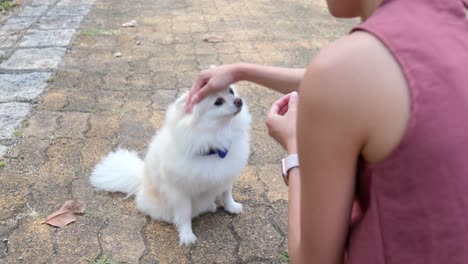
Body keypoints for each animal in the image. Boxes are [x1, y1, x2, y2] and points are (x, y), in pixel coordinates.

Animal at [88, 86, 249, 245]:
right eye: (218, 102)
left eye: (231, 91)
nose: (239, 101)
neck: (213, 144)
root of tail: (140, 181)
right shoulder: (180, 192)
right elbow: (184, 214)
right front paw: (187, 235)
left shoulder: (227, 174)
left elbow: (227, 193)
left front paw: (231, 207)